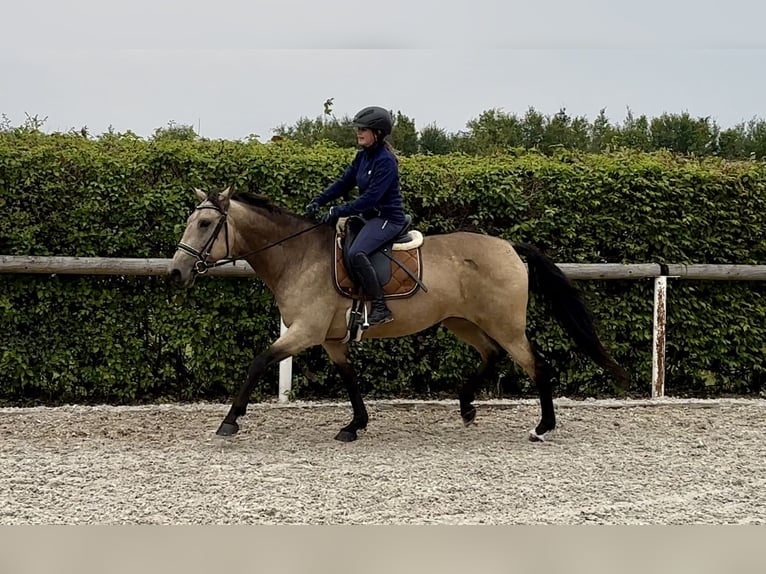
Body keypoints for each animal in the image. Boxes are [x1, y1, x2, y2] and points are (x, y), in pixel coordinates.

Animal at [170, 189, 632, 446]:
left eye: (206, 223)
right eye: (190, 220)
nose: (177, 271)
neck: (297, 256)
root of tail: (509, 247)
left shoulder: (304, 333)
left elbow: (258, 363)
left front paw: (230, 421)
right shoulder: (332, 339)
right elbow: (350, 379)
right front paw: (355, 425)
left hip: (505, 325)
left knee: (537, 365)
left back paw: (542, 428)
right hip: (461, 321)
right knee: (492, 355)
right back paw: (466, 407)